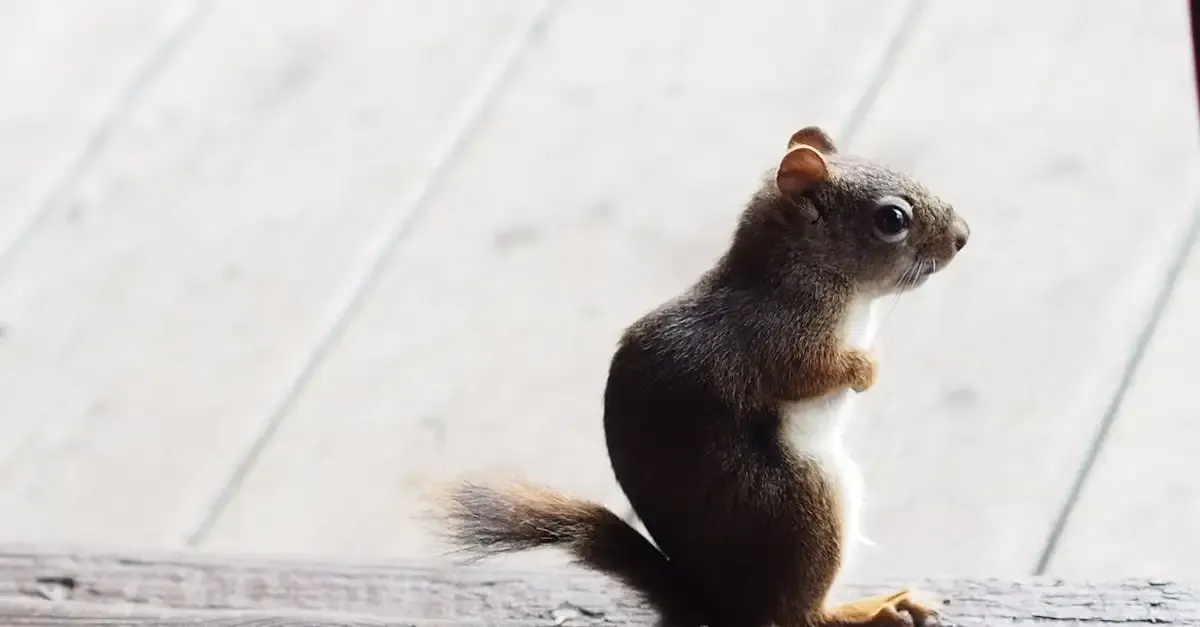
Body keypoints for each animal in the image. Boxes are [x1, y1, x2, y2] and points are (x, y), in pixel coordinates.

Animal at [433, 125, 970, 627]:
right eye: (892, 219)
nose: (963, 235)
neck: (812, 272)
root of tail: (722, 606)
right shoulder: (779, 336)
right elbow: (811, 373)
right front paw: (867, 369)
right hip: (804, 506)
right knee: (798, 615)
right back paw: (873, 608)